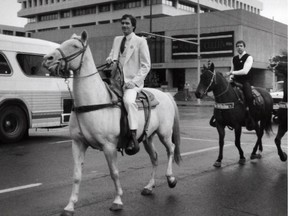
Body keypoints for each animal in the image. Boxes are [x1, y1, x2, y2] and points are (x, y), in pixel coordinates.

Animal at [41, 30, 181, 214]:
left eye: (75, 46)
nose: (47, 59)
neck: (94, 102)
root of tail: (165, 94)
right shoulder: (78, 144)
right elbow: (77, 175)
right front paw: (70, 205)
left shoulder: (109, 146)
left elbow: (114, 172)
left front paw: (117, 200)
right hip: (147, 137)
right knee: (155, 158)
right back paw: (149, 186)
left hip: (164, 133)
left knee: (170, 149)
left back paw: (171, 178)